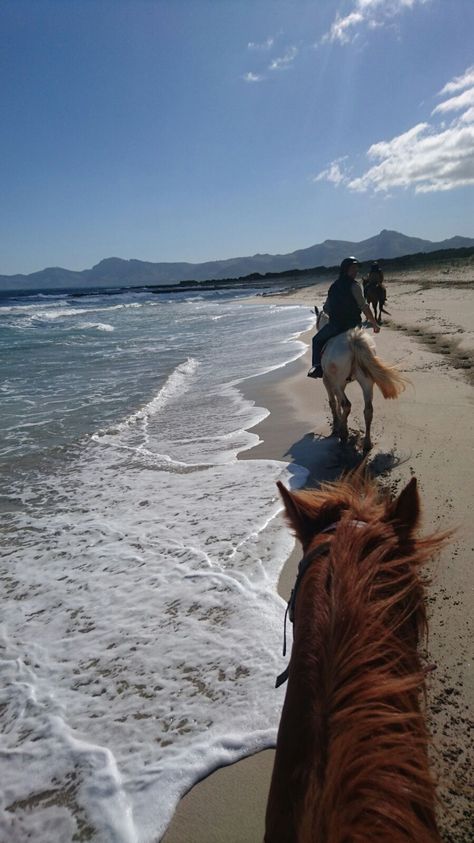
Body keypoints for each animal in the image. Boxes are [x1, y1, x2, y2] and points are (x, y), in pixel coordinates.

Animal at [314, 308, 408, 452]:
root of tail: (352, 340)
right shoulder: (341, 384)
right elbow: (337, 402)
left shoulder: (328, 381)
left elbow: (333, 402)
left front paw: (337, 425)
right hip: (366, 382)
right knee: (368, 410)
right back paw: (367, 443)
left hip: (338, 382)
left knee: (346, 405)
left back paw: (343, 433)